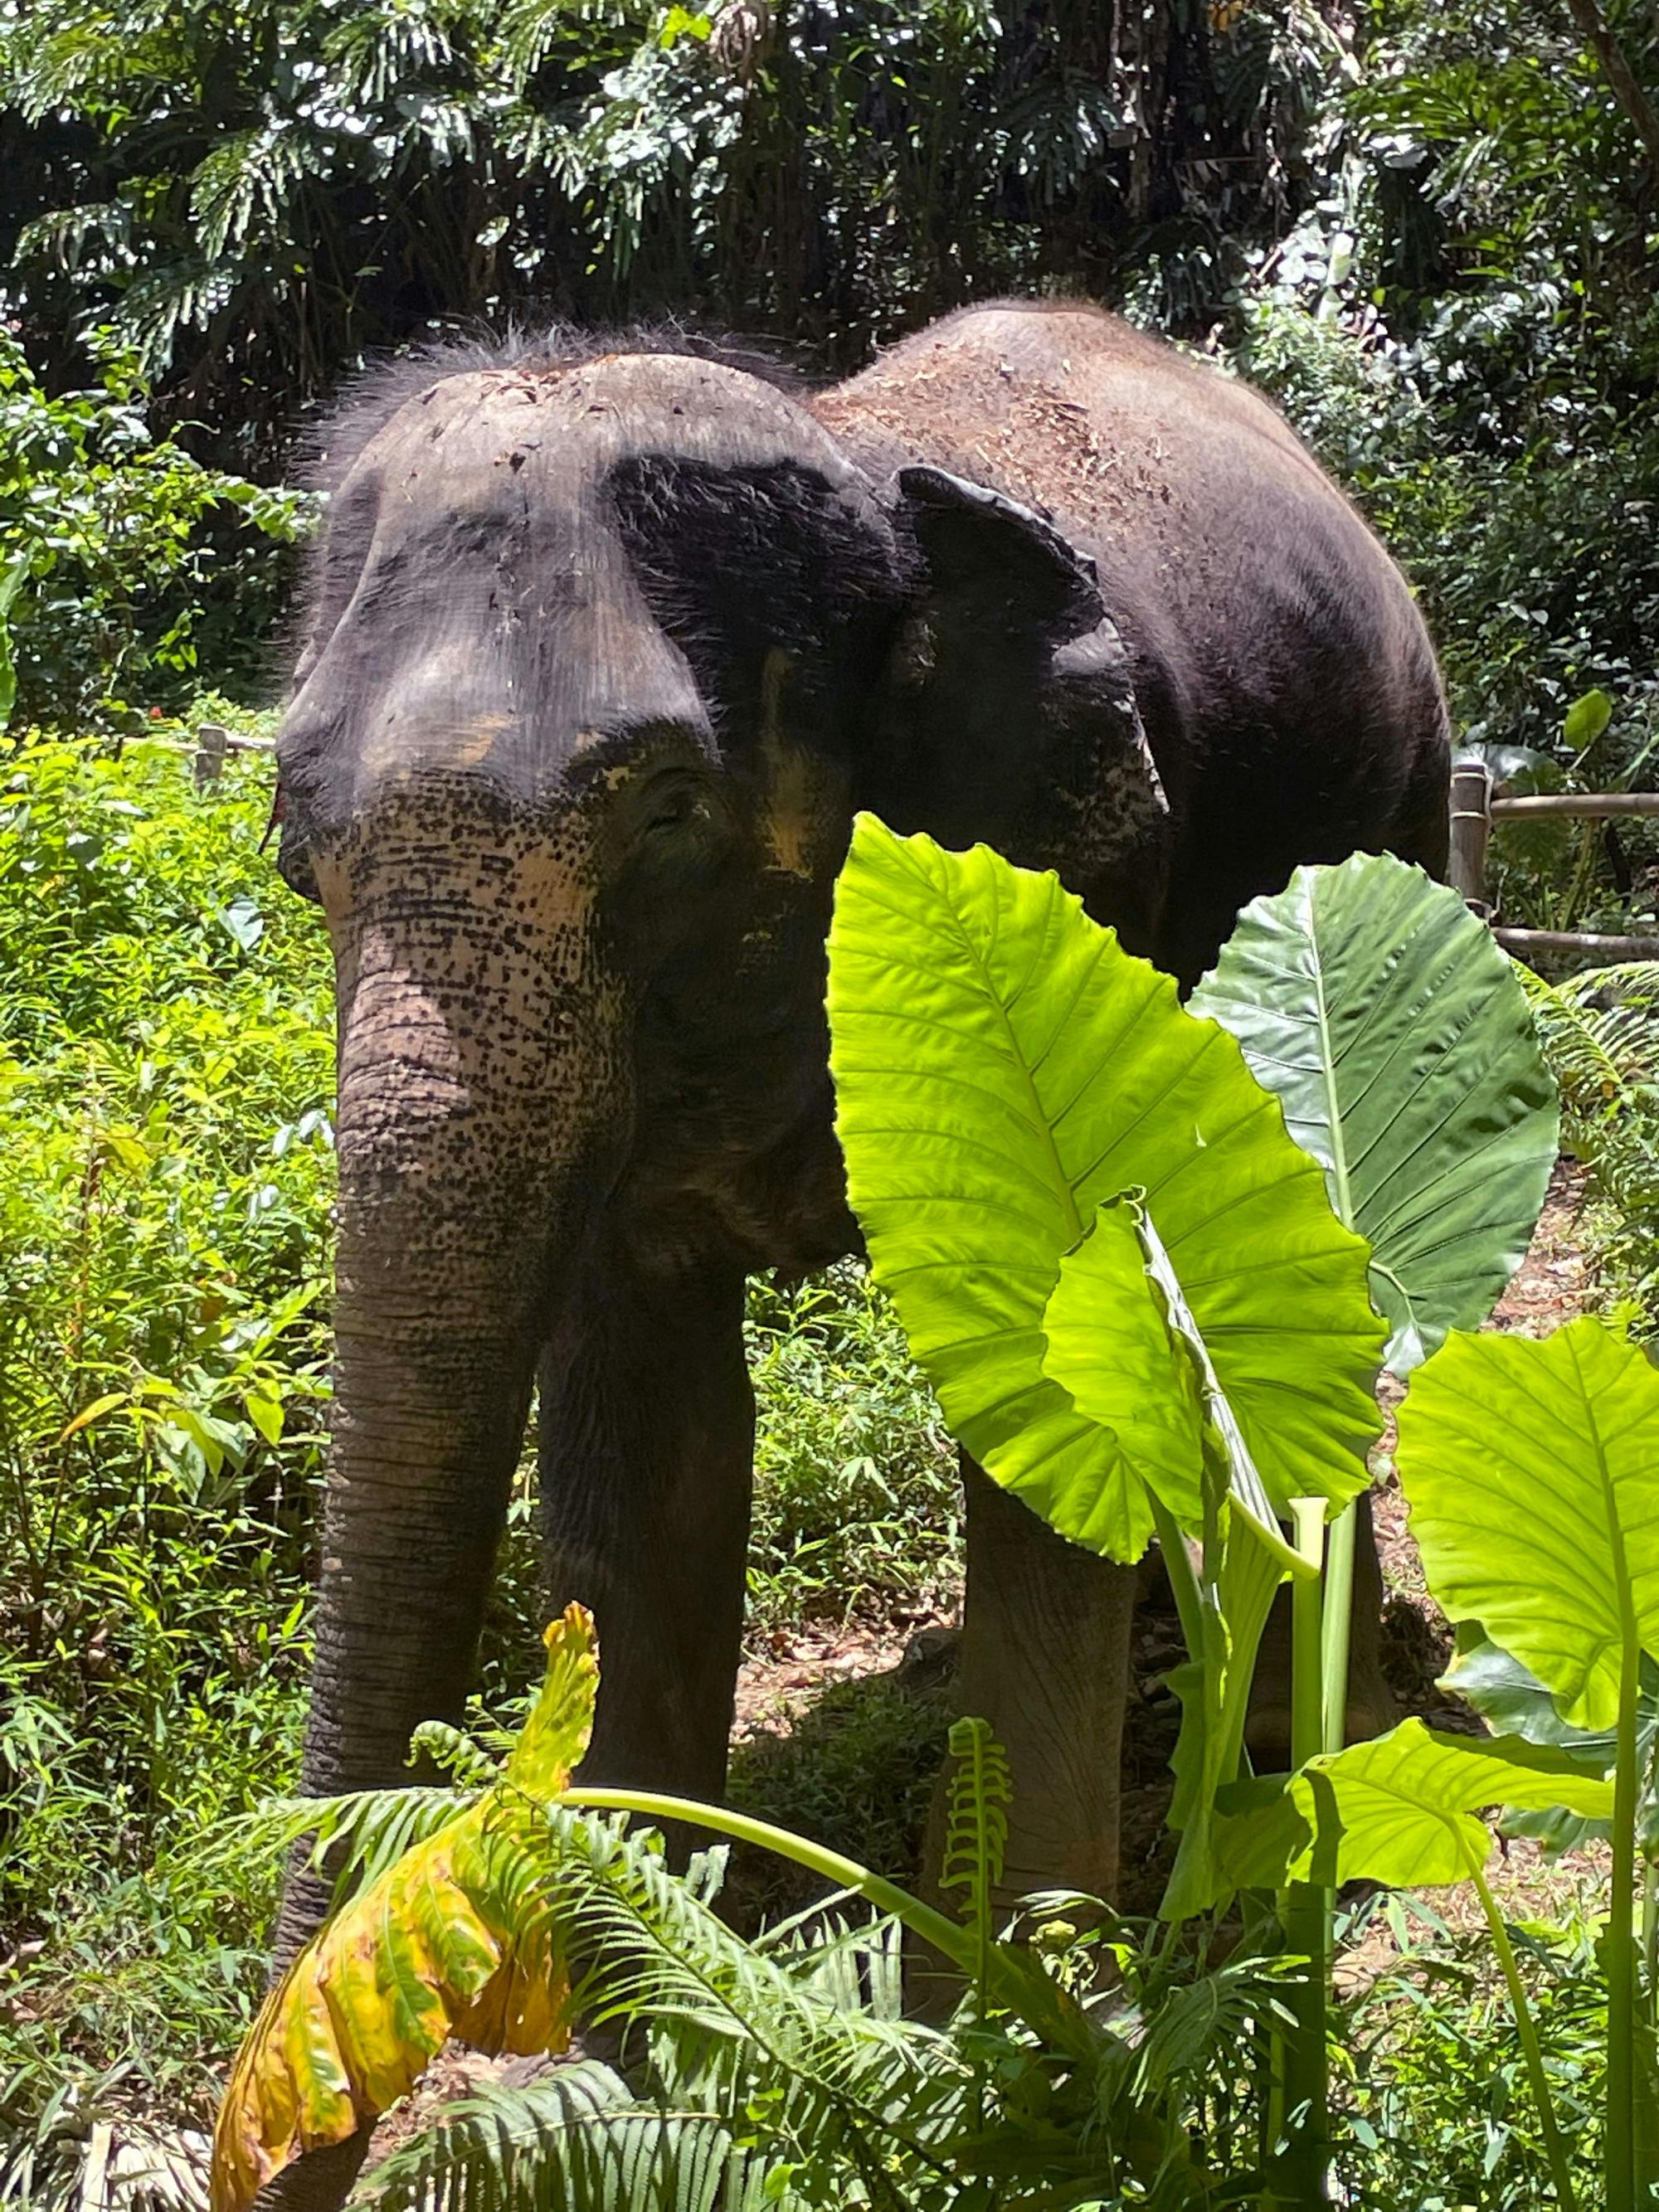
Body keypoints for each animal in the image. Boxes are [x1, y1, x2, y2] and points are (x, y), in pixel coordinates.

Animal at [273, 294, 1451, 2035]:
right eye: (296, 842)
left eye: (669, 809)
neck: (844, 453)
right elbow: (649, 1431)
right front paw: (642, 2000)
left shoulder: (1083, 912)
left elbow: (1056, 1376)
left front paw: (1025, 2002)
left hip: (1401, 836)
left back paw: (1321, 1736)